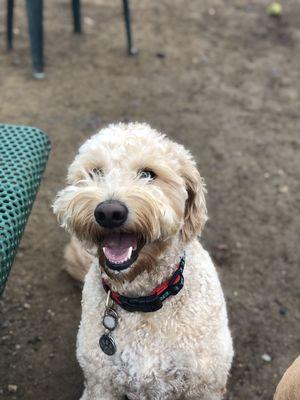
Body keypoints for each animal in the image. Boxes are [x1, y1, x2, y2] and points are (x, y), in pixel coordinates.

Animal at [52, 122, 233, 400]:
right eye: (96, 172)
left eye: (148, 174)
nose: (109, 212)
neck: (143, 302)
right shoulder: (100, 385)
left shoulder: (204, 387)